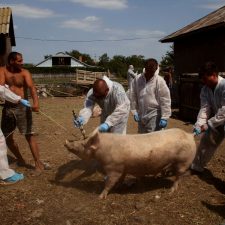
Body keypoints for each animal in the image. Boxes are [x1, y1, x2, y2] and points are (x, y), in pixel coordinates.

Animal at [64, 127, 195, 200]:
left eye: (83, 144)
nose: (66, 143)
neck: (103, 150)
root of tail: (190, 135)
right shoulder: (123, 168)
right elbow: (121, 179)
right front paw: (119, 187)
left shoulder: (114, 168)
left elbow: (109, 183)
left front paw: (100, 197)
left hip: (184, 161)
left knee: (178, 176)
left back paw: (171, 191)